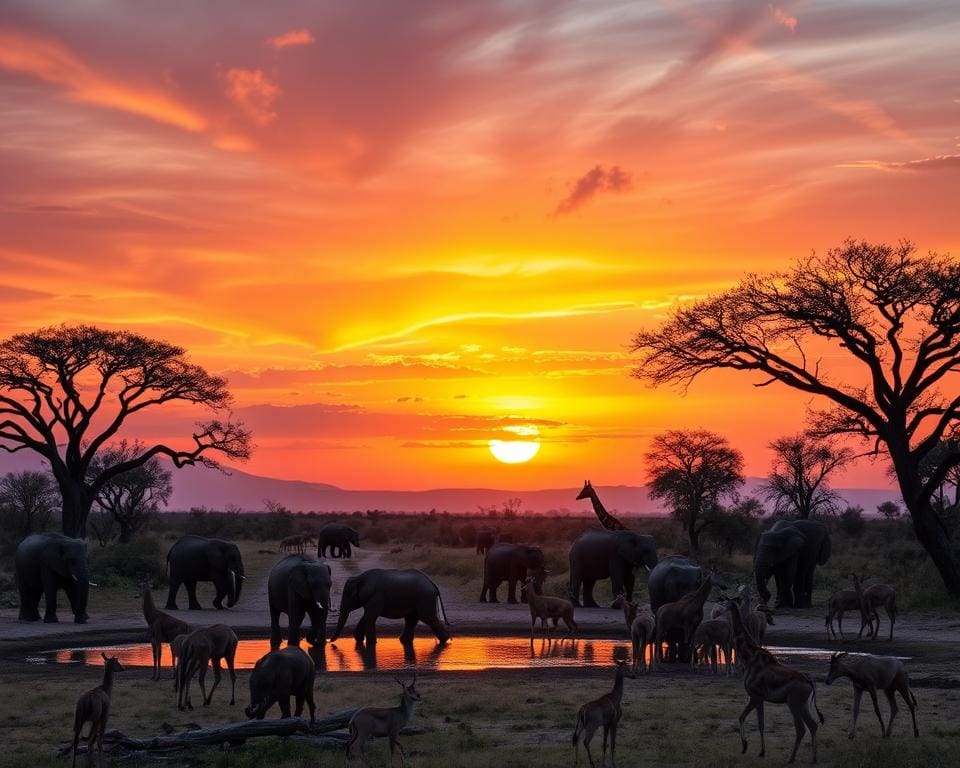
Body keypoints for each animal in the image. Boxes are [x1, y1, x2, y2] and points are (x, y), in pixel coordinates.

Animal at [728, 604, 824, 764]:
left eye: (726, 603)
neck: (749, 657)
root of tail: (810, 683)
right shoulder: (759, 699)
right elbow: (760, 724)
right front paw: (761, 752)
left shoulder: (755, 696)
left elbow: (742, 717)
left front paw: (745, 746)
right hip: (803, 704)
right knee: (813, 725)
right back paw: (813, 758)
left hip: (794, 703)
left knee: (801, 728)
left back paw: (791, 758)